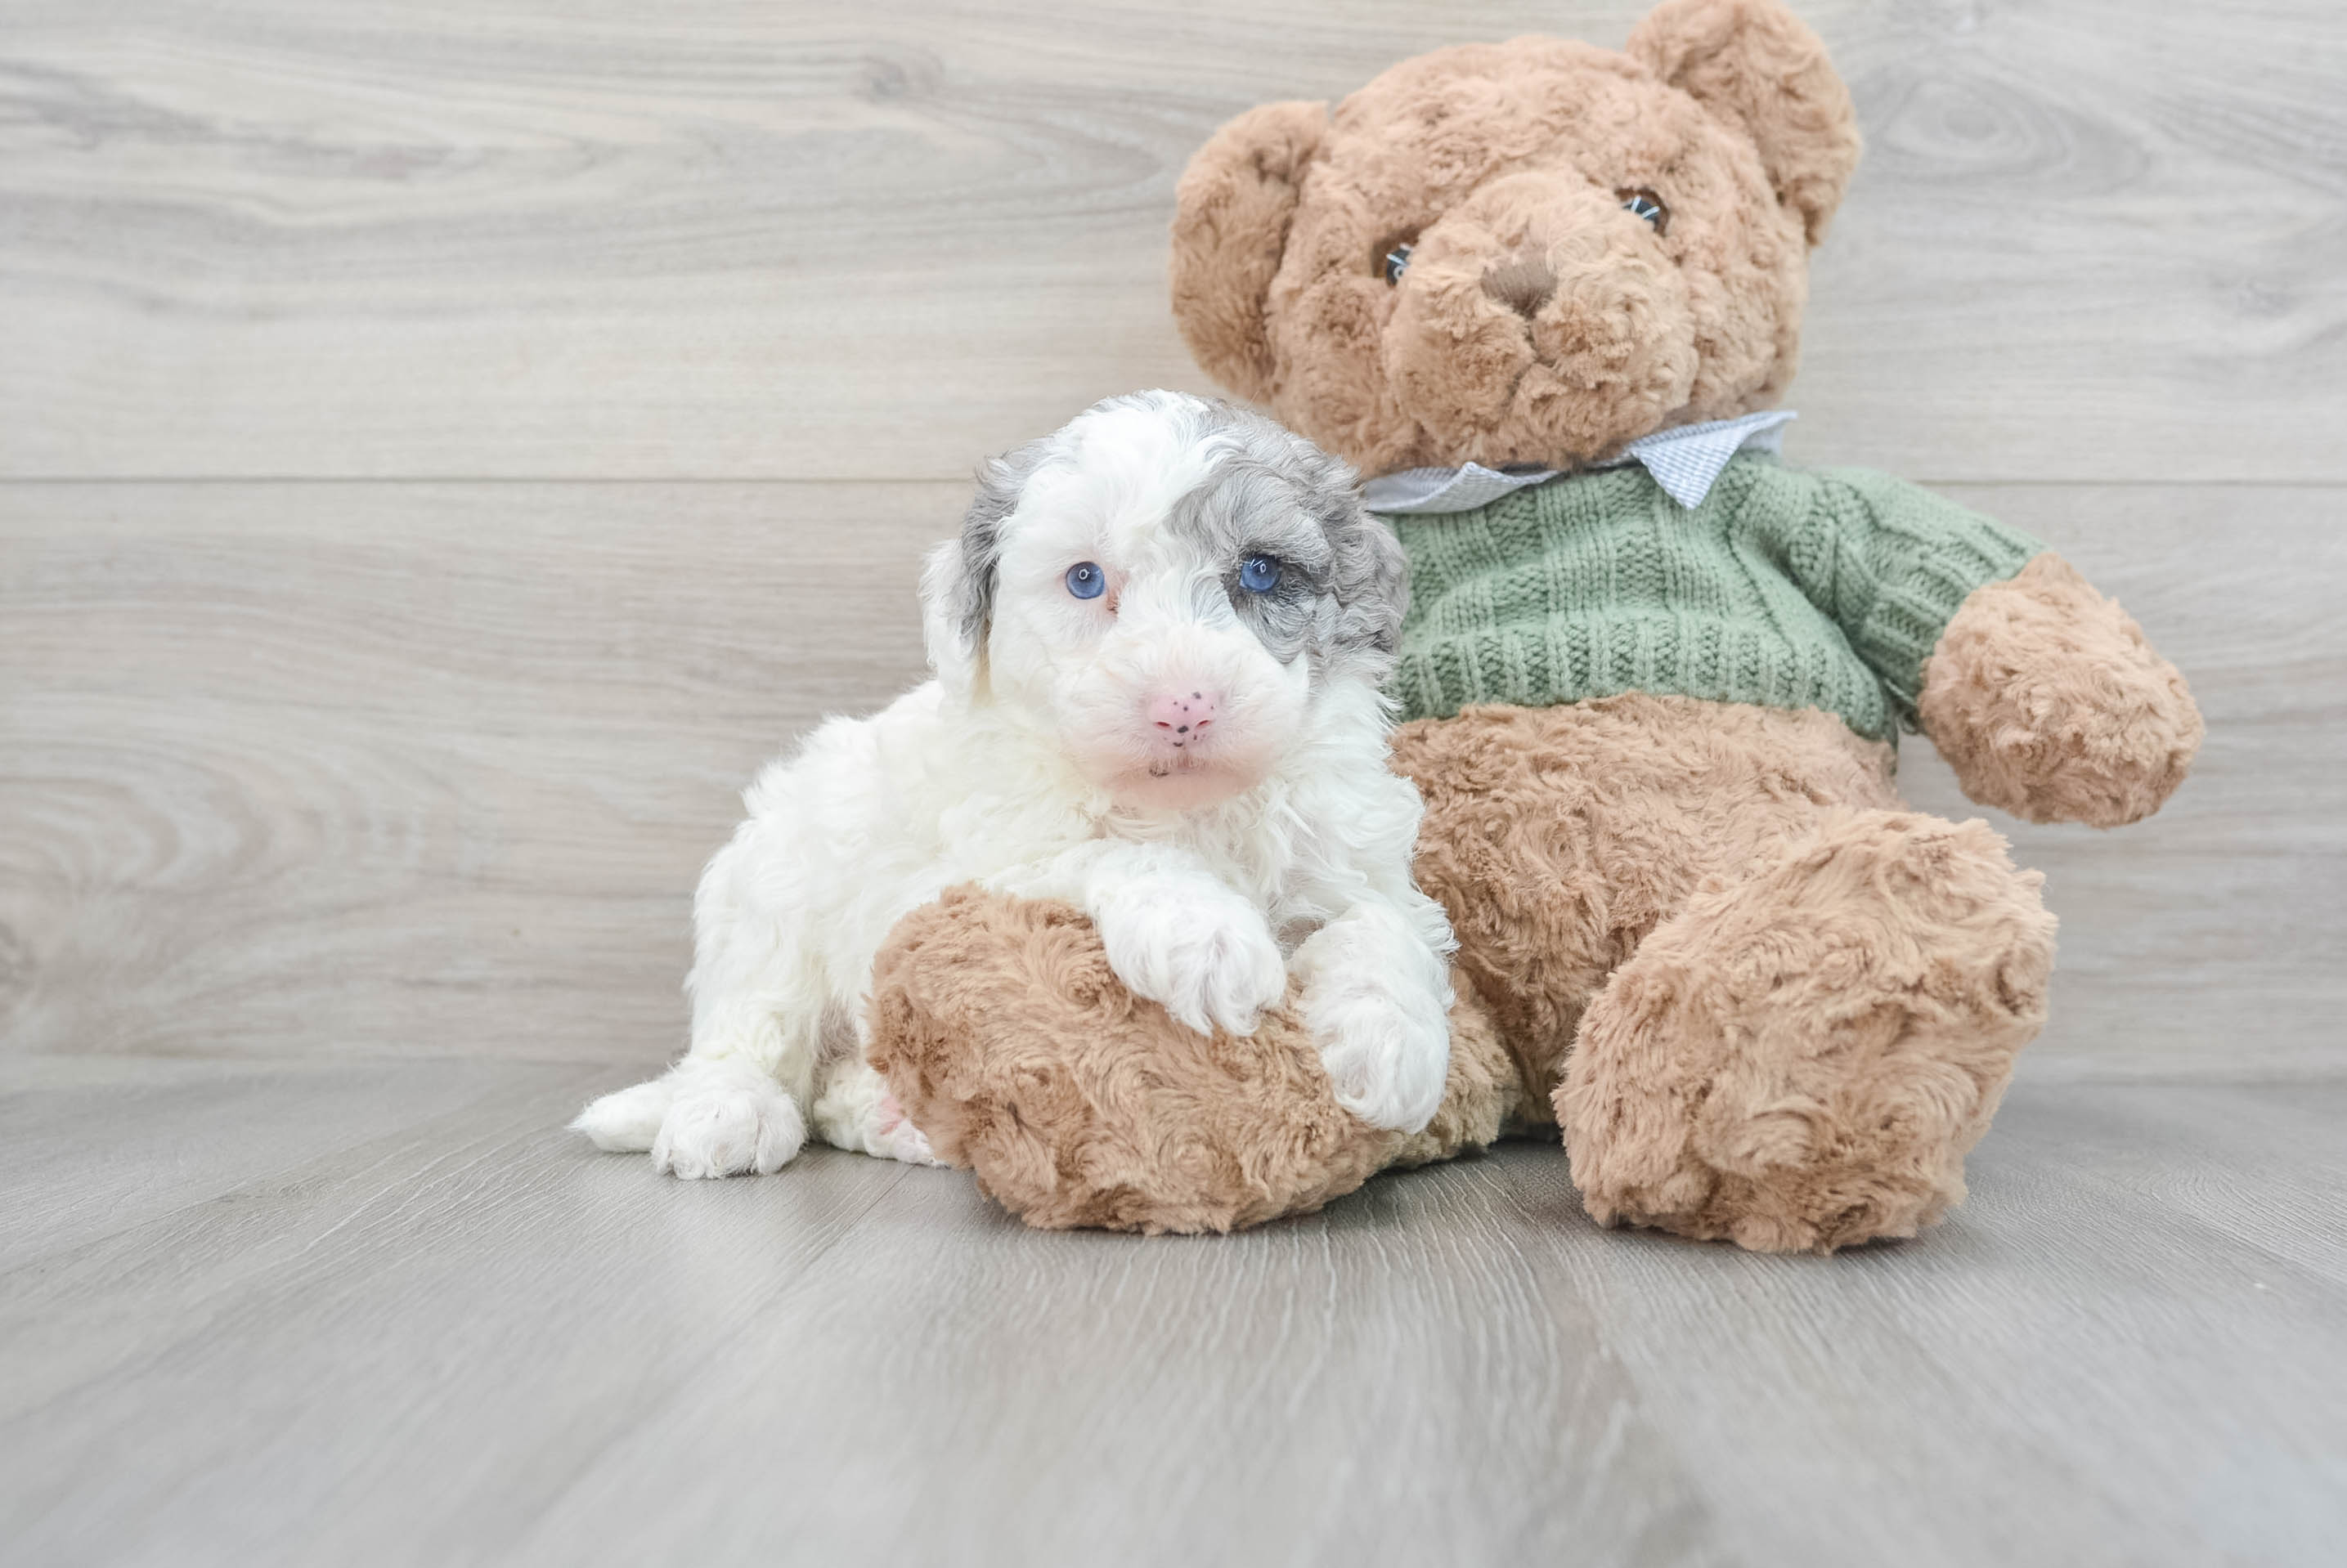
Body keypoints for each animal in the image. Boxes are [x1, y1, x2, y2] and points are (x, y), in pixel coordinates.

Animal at [572, 389, 1445, 1173]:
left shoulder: (1352, 852)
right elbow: (1105, 852)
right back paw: (728, 1113)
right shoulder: (964, 878)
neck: (1185, 808)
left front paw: (1394, 1046)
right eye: (1085, 580)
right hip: (767, 899)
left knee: (832, 1088)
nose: (1183, 706)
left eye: (1261, 572)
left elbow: (1382, 920)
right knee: (753, 1031)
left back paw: (894, 1120)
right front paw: (1206, 934)